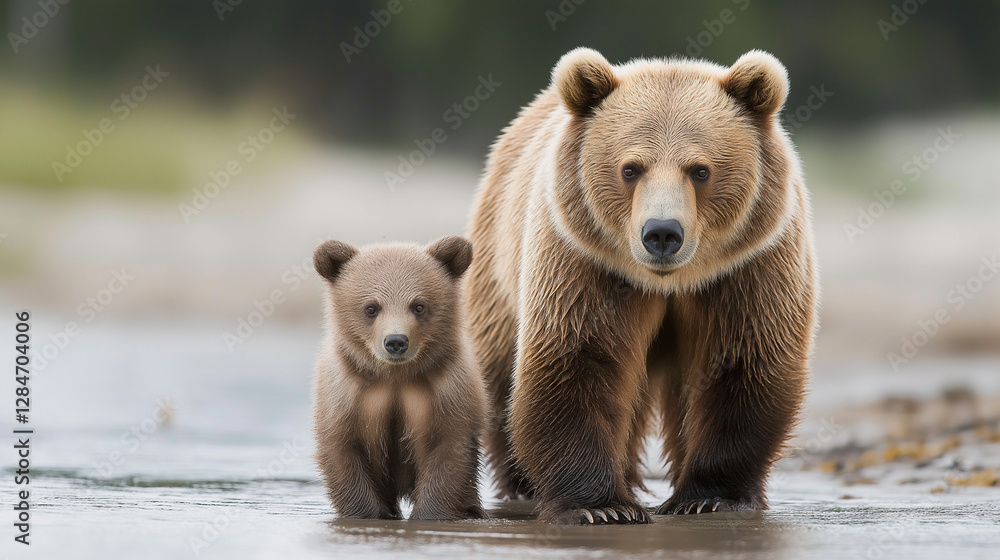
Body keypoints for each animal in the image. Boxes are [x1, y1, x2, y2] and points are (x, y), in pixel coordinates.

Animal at [312, 235, 487, 520]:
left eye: (419, 306)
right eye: (371, 308)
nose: (395, 341)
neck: (395, 376)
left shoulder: (447, 391)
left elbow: (449, 453)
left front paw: (429, 515)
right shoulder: (346, 394)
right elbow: (343, 452)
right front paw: (368, 515)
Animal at [464, 48, 817, 525]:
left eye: (700, 169)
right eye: (631, 168)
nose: (662, 232)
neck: (671, 282)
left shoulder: (748, 267)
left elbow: (742, 362)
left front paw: (709, 496)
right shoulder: (587, 263)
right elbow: (580, 358)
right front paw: (601, 506)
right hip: (499, 265)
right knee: (501, 371)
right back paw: (523, 483)